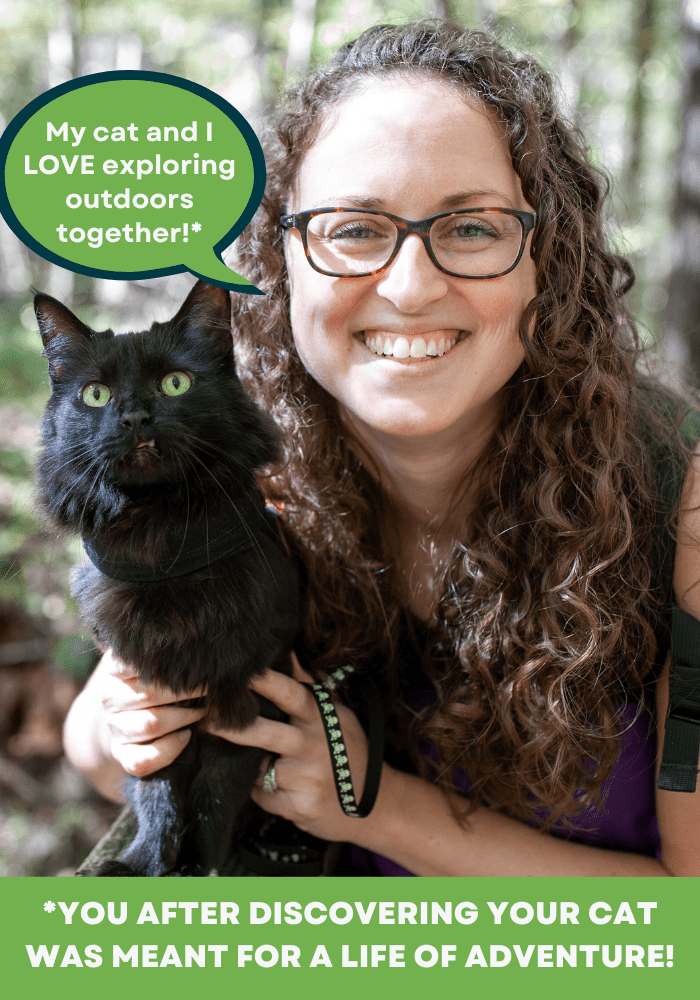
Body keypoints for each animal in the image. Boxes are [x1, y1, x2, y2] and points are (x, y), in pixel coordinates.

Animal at [35, 282, 298, 876]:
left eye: (176, 383)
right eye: (96, 395)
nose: (134, 417)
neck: (162, 551)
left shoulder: (245, 690)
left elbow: (214, 796)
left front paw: (197, 868)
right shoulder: (147, 700)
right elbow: (158, 786)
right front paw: (143, 863)